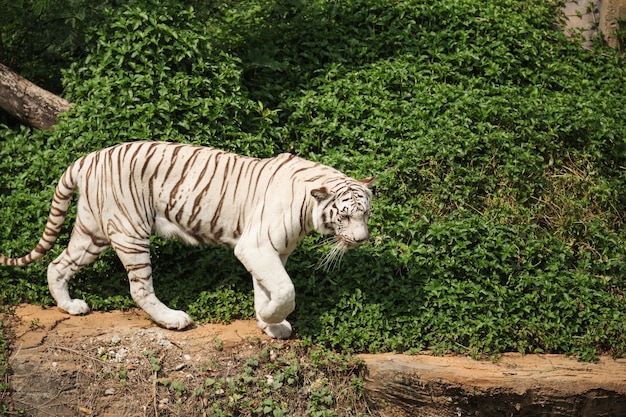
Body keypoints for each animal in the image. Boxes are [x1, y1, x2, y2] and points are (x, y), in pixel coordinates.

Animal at [0, 141, 370, 336]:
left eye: (366, 213)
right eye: (345, 215)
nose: (362, 239)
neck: (308, 208)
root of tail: (88, 158)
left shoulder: (270, 252)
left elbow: (266, 289)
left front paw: (269, 324)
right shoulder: (256, 247)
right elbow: (284, 290)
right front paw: (271, 319)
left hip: (93, 232)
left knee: (57, 264)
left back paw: (70, 306)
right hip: (131, 231)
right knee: (139, 288)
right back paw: (174, 319)